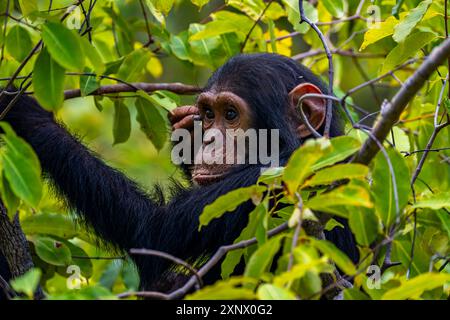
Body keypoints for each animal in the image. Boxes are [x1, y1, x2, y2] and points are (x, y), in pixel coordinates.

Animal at [0, 52, 358, 296]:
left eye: (231, 114)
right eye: (209, 114)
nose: (209, 138)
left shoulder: (269, 179)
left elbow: (153, 231)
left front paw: (27, 113)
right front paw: (187, 132)